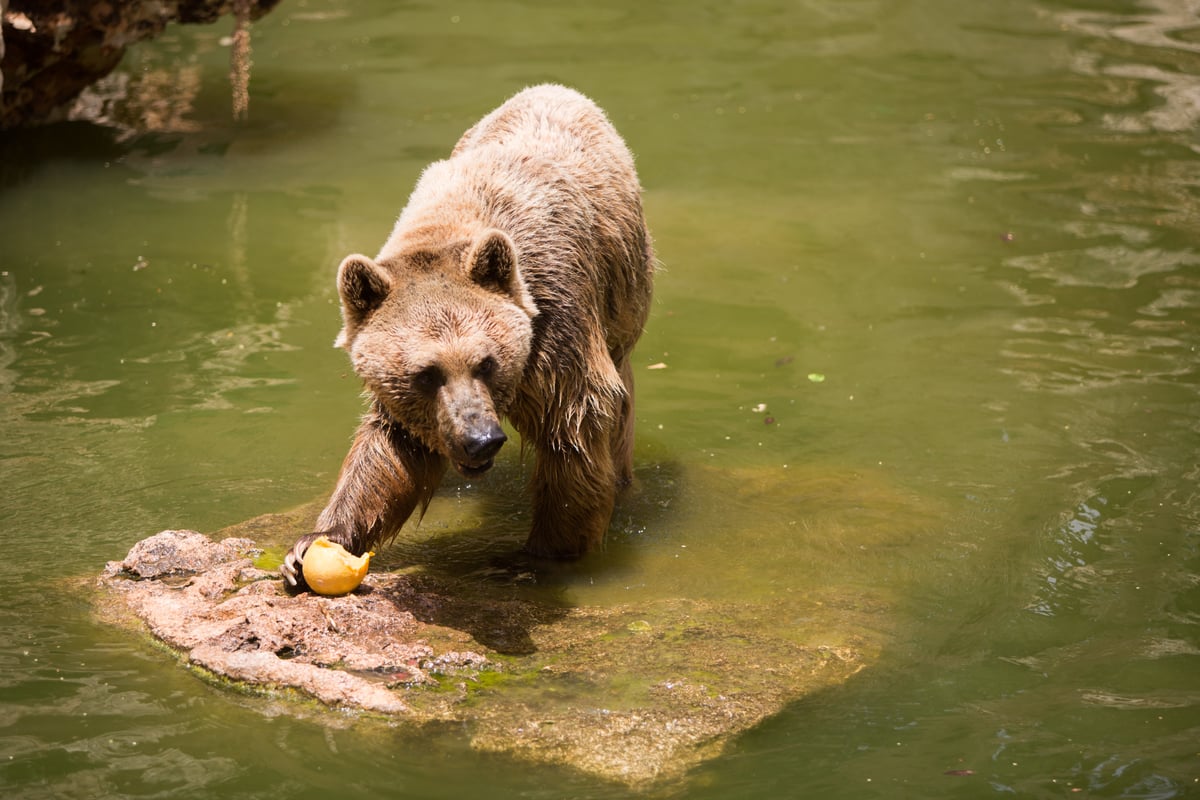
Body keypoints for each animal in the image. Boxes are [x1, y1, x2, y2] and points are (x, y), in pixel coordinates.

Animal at [279, 86, 652, 587]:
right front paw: (313, 544)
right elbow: (391, 447)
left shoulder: (559, 317)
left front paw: (538, 553)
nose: (481, 439)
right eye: (425, 373)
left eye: (487, 362)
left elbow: (574, 425)